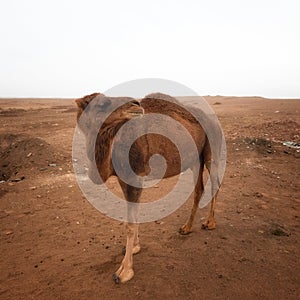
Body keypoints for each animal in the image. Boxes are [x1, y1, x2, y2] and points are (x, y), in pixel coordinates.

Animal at [75, 91, 220, 284]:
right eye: (102, 104)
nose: (135, 104)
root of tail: (214, 120)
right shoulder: (125, 178)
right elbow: (134, 215)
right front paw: (135, 247)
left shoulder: (135, 174)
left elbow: (129, 223)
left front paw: (124, 271)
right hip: (196, 159)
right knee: (198, 189)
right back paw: (186, 228)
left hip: (212, 150)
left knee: (215, 184)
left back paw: (210, 223)